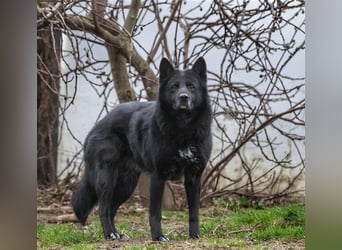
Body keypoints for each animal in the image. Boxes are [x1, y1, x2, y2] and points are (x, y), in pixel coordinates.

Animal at [71, 56, 212, 240]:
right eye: (174, 86)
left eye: (191, 86)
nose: (183, 97)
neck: (183, 128)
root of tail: (98, 125)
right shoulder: (158, 176)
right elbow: (155, 213)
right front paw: (158, 237)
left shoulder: (194, 177)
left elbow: (194, 212)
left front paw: (194, 236)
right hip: (106, 180)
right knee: (103, 210)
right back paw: (110, 234)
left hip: (126, 185)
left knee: (111, 210)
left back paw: (117, 234)